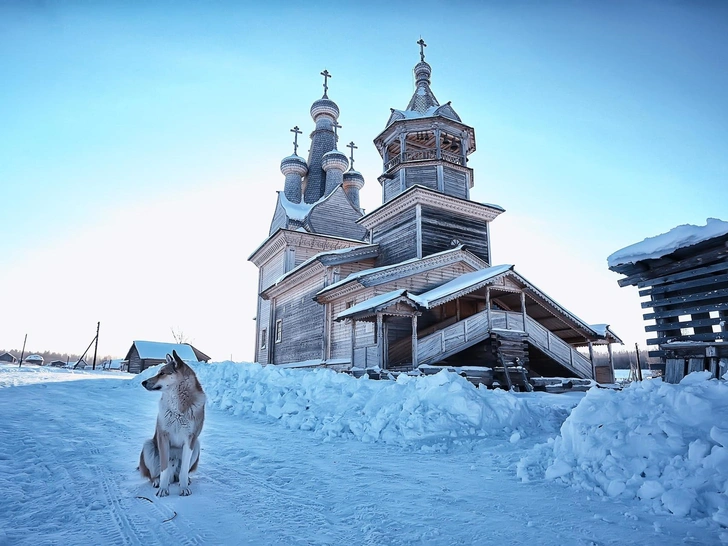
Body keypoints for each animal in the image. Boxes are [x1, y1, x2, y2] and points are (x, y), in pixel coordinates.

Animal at [139, 350, 205, 496]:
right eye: (159, 372)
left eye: (162, 373)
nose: (143, 382)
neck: (177, 409)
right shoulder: (163, 436)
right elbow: (164, 469)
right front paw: (163, 489)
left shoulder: (191, 439)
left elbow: (184, 469)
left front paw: (184, 487)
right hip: (148, 446)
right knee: (154, 474)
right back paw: (157, 481)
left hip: (197, 445)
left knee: (180, 474)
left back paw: (184, 480)